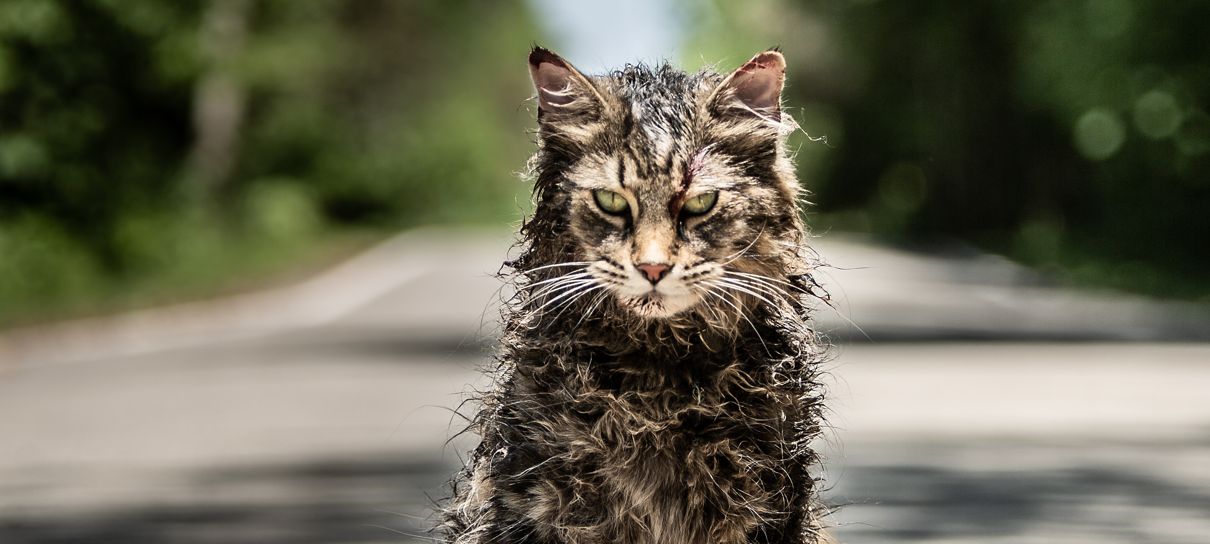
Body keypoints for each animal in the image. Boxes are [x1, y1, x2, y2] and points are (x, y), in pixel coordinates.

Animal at [442, 47, 832, 544]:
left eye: (699, 204)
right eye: (611, 201)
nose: (652, 268)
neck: (658, 385)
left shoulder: (772, 502)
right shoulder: (534, 499)